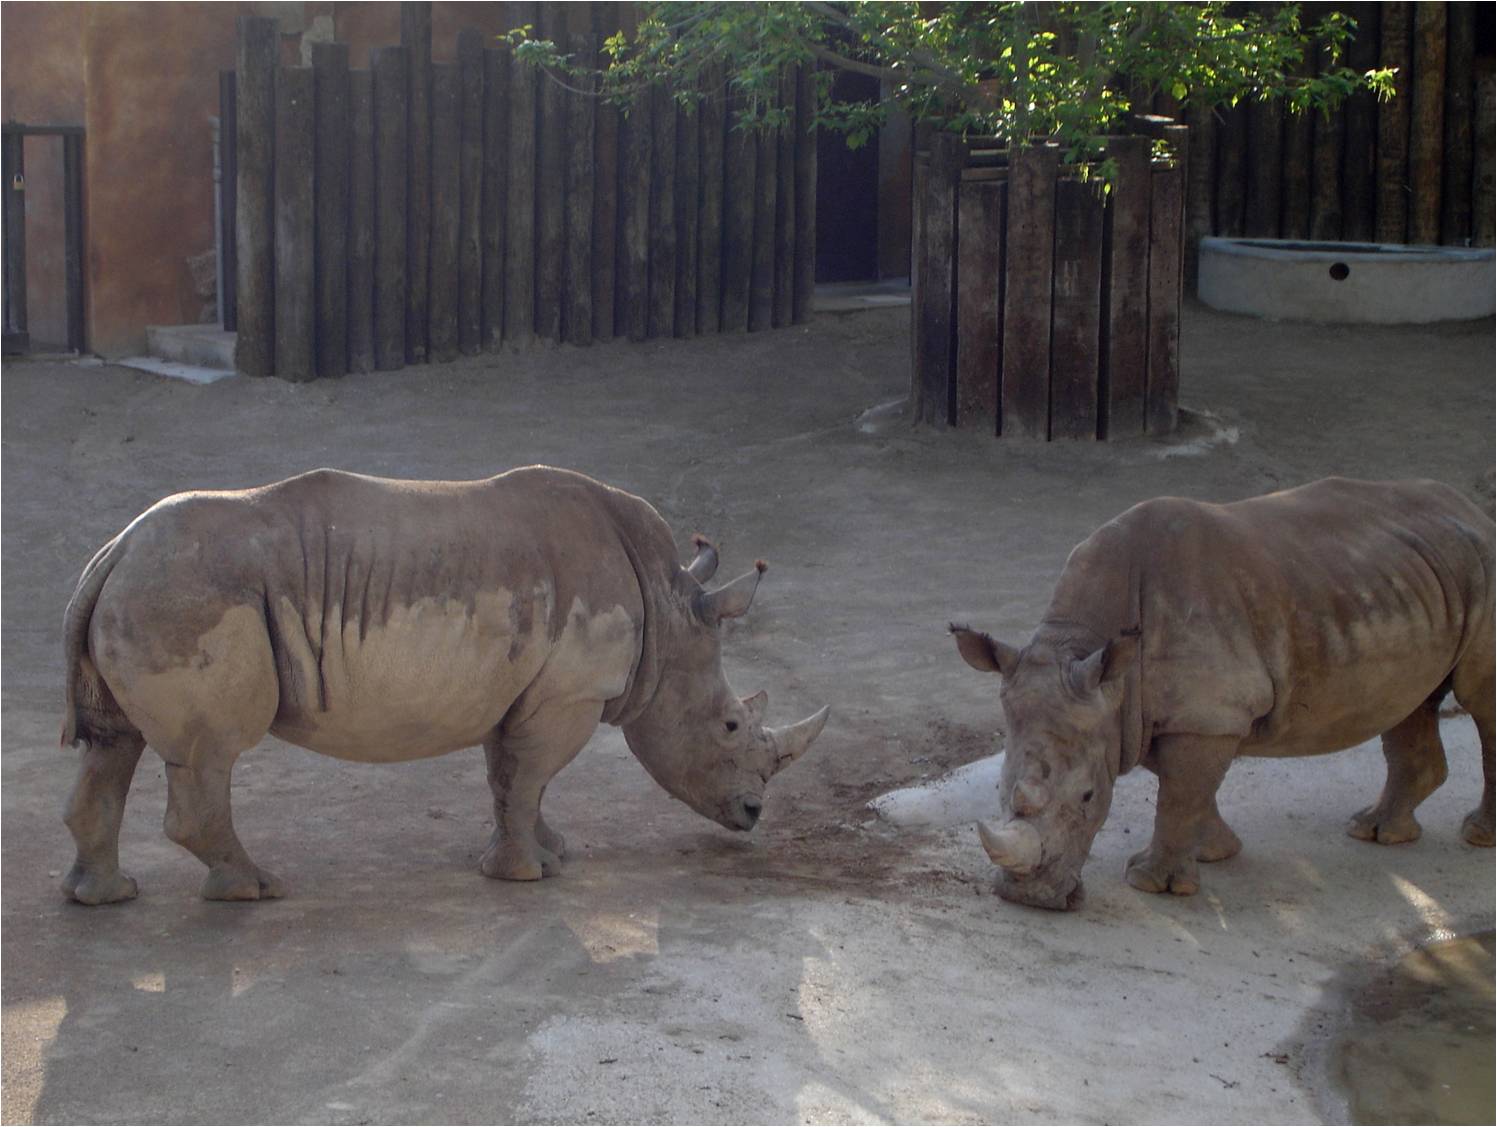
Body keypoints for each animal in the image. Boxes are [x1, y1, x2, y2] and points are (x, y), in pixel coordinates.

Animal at [60, 466, 829, 905]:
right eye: (730, 725)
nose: (753, 814)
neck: (669, 616)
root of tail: (112, 551)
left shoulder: (519, 687)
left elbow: (511, 777)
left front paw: (549, 851)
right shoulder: (570, 692)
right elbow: (530, 775)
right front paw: (526, 877)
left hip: (148, 588)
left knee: (115, 745)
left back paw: (104, 896)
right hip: (187, 593)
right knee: (211, 753)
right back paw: (254, 890)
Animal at [951, 477, 1494, 911]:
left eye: (1088, 797)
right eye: (1000, 792)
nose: (1031, 900)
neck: (1084, 645)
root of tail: (1472, 509)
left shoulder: (1204, 713)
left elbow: (1180, 791)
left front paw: (1154, 884)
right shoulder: (1156, 711)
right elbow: (1188, 785)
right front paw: (1215, 852)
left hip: (1482, 567)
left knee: (1478, 699)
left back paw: (1474, 836)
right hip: (1414, 579)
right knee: (1412, 703)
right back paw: (1376, 832)